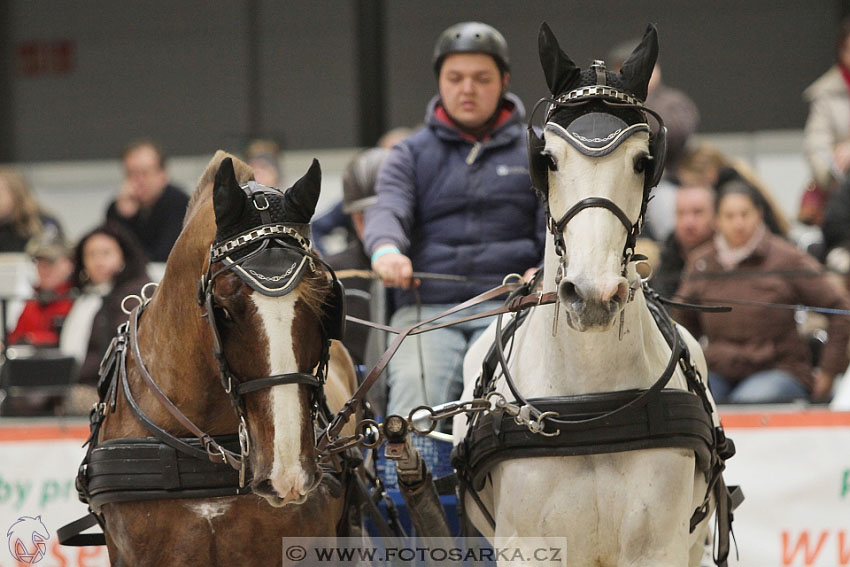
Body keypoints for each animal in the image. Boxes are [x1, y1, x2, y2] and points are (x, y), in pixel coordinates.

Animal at [454, 24, 724, 564]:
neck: (593, 406)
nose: (594, 295)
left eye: (642, 160)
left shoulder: (659, 546)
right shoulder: (526, 546)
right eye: (549, 161)